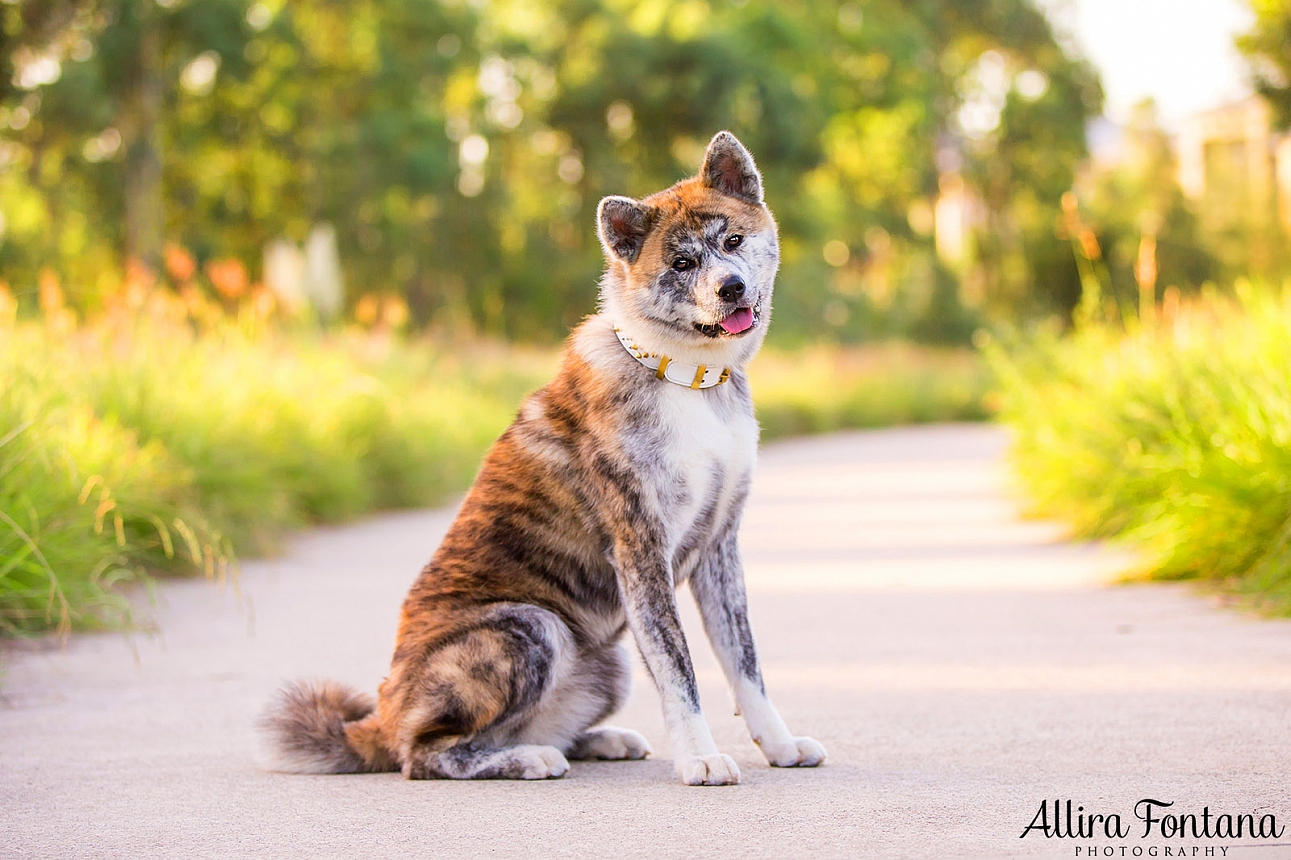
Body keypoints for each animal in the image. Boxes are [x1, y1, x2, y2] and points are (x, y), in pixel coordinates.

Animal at [262, 129, 826, 785]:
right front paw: (701, 759)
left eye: (732, 240)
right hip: (533, 626)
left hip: (609, 662)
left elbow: (745, 664)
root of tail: (377, 720)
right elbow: (679, 672)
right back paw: (526, 757)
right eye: (681, 264)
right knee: (424, 754)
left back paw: (597, 741)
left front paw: (779, 744)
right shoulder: (641, 552)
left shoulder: (719, 549)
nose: (730, 288)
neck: (686, 379)